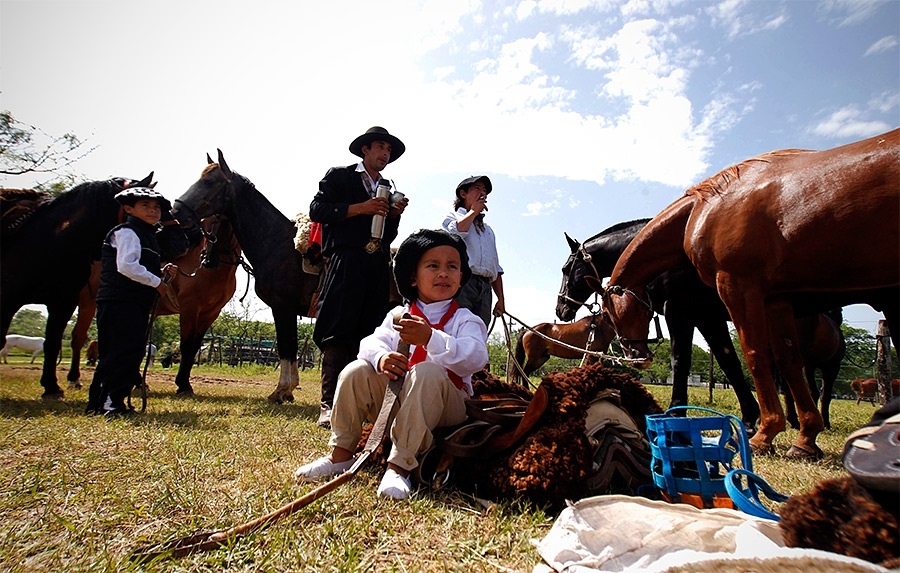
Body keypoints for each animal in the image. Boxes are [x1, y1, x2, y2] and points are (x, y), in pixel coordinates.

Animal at [1, 174, 192, 398]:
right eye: (155, 207)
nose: (182, 243)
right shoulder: (9, 300)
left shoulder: (63, 302)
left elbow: (53, 342)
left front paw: (51, 386)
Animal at [67, 214, 241, 394]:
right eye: (204, 224)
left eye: (224, 222)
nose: (208, 260)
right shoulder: (190, 308)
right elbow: (186, 345)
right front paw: (183, 384)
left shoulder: (210, 313)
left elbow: (194, 347)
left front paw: (184, 383)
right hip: (89, 302)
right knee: (80, 336)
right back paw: (75, 379)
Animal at [560, 219, 848, 428]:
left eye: (565, 269)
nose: (560, 308)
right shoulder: (708, 318)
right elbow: (729, 361)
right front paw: (749, 417)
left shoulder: (681, 312)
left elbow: (681, 359)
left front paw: (676, 411)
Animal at [604, 127, 900, 458]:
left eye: (609, 314)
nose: (635, 358)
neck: (705, 209)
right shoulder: (774, 301)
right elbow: (783, 362)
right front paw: (804, 437)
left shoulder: (730, 290)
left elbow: (747, 356)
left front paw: (762, 431)